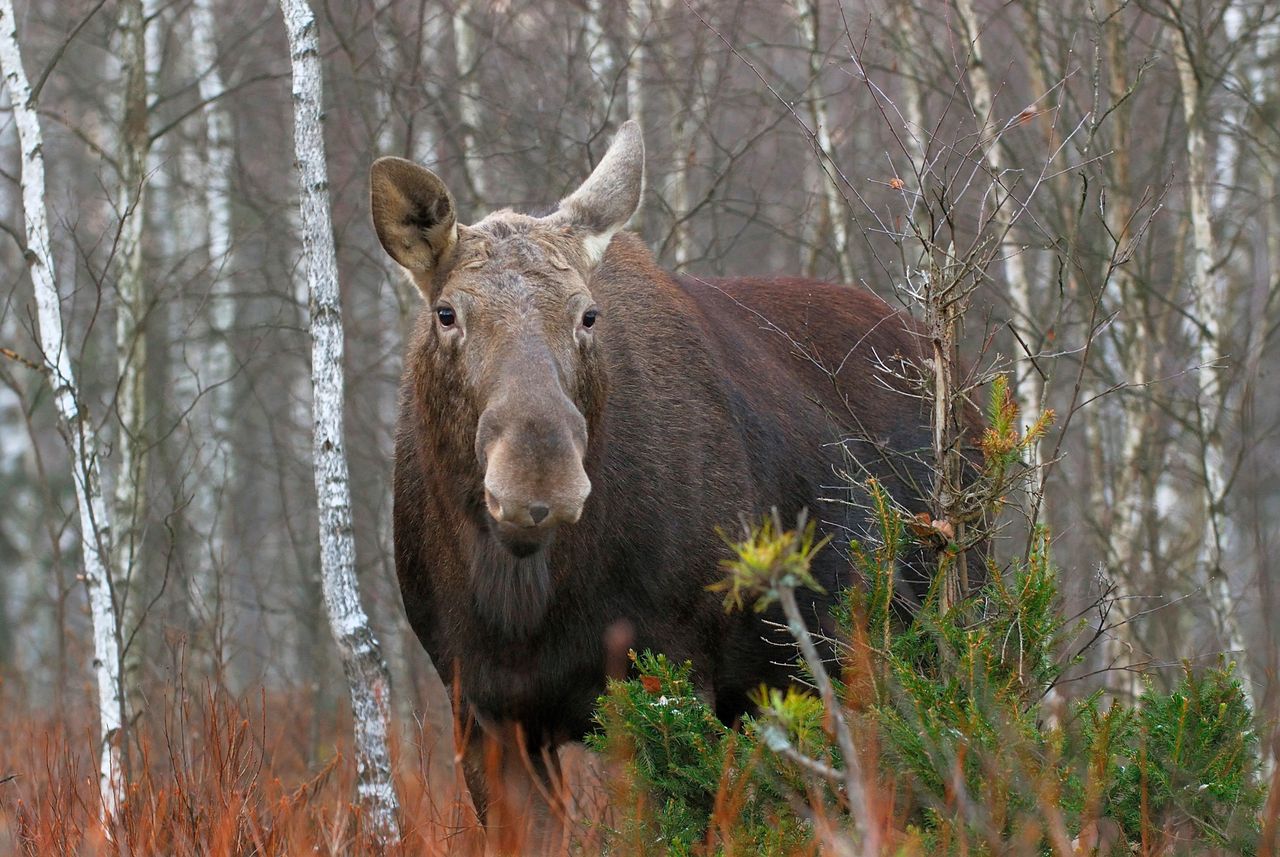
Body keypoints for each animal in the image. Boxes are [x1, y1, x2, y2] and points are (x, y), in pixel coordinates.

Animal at [371, 120, 942, 823]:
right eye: (447, 313)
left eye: (587, 314)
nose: (539, 479)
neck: (525, 604)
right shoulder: (487, 715)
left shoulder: (671, 674)